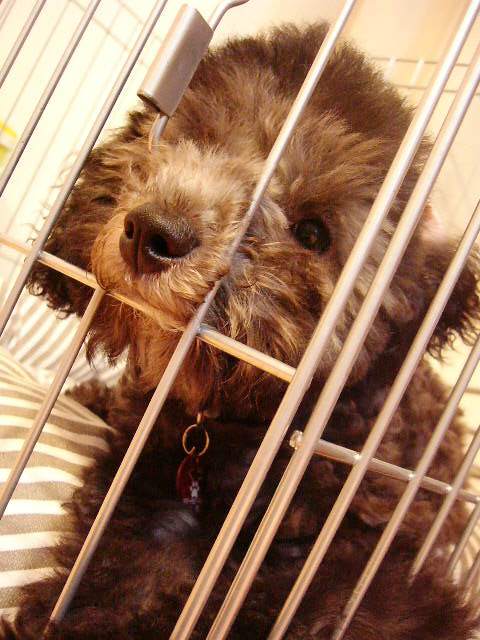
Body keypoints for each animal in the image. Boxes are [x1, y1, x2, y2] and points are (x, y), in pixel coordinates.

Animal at [2, 23, 479, 639]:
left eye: (313, 233)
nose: (155, 232)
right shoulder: (149, 483)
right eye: (192, 140)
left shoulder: (337, 561)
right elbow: (123, 557)